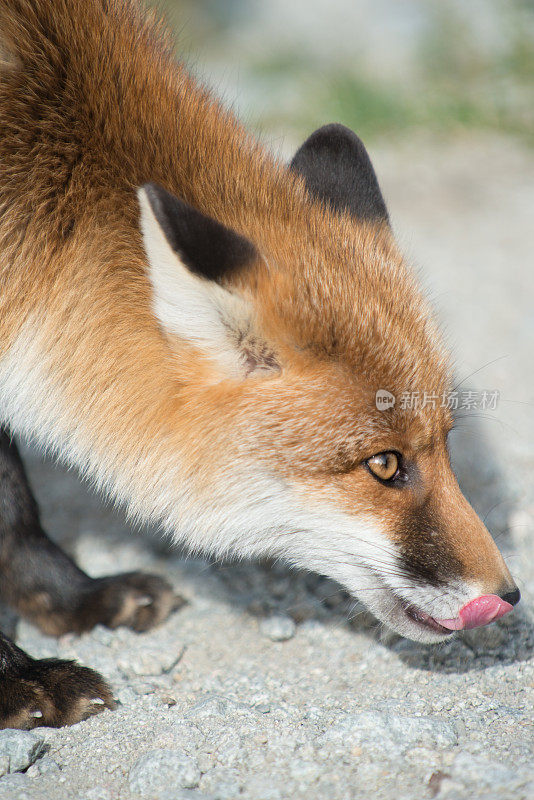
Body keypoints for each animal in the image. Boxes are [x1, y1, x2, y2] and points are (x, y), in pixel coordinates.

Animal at [0, 0, 520, 724]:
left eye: (446, 442)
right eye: (384, 464)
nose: (508, 597)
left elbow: (13, 509)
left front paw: (72, 602)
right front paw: (17, 677)